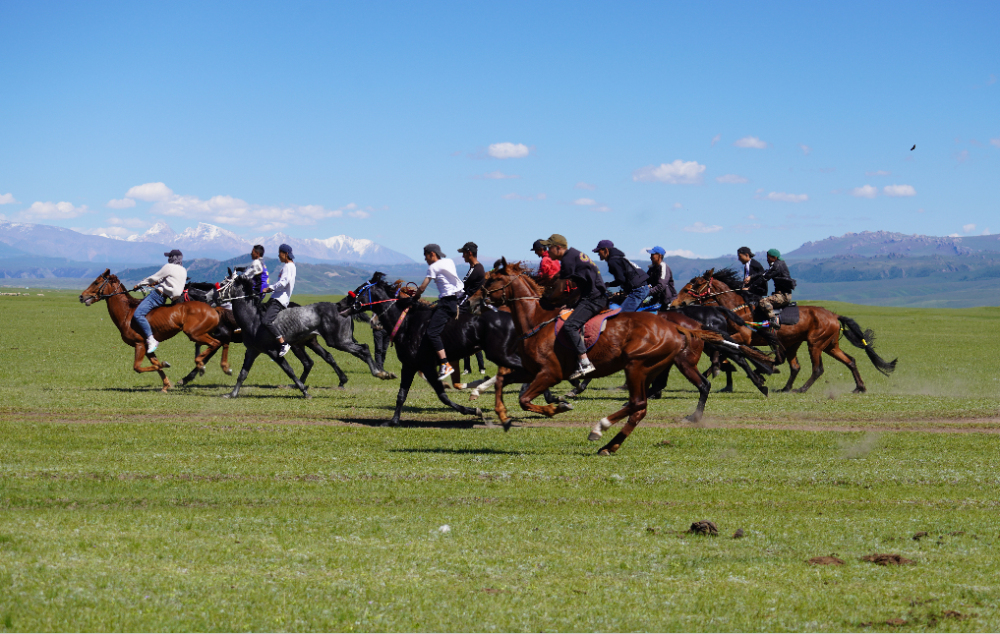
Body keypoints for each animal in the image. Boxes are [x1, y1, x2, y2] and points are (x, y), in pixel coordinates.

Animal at [80, 268, 225, 390]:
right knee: (216, 344)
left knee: (215, 343)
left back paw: (200, 364)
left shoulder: (139, 344)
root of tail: (213, 309)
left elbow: (138, 367)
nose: (81, 296)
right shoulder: (147, 346)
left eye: (96, 282)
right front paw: (166, 385)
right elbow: (155, 364)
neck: (127, 312)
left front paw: (166, 366)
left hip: (195, 334)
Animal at [217, 270, 392, 398]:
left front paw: (305, 392)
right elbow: (242, 373)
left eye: (224, 284)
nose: (211, 296)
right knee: (348, 353)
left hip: (336, 341)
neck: (253, 319)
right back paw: (366, 375)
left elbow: (289, 371)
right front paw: (232, 394)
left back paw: (378, 372)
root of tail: (344, 308)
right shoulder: (252, 351)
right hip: (327, 341)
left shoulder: (273, 351)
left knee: (363, 348)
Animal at [480, 258, 768, 454]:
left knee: (652, 399)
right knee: (643, 404)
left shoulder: (550, 372)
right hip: (654, 365)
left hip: (646, 364)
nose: (474, 300)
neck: (538, 320)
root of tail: (684, 325)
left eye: (491, 280)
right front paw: (502, 415)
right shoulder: (530, 370)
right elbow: (503, 380)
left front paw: (558, 404)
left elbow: (526, 398)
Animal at [672, 266, 900, 390]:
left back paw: (799, 388)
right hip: (825, 345)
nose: (675, 304)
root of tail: (834, 315)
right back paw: (858, 387)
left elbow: (732, 352)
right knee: (848, 361)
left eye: (693, 285)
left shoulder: (744, 337)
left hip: (815, 344)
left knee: (817, 369)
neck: (739, 309)